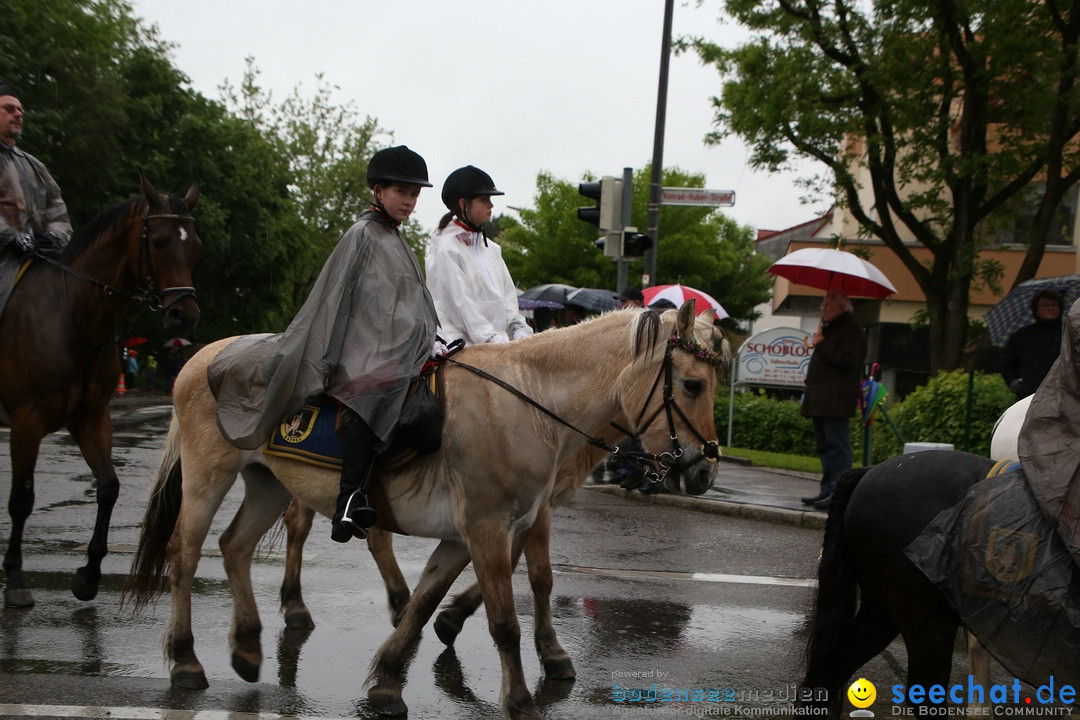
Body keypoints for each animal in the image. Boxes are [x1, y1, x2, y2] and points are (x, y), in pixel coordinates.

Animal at [0, 175, 200, 608]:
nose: (185, 315)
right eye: (158, 241)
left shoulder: (90, 416)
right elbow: (22, 498)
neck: (72, 317)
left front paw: (89, 574)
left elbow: (108, 487)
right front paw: (16, 577)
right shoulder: (26, 420)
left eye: (195, 243)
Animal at [122, 302, 721, 716]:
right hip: (209, 475)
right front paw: (521, 697)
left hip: (267, 482)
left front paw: (389, 681)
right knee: (184, 551)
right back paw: (186, 658)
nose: (704, 471)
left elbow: (424, 604)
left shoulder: (473, 534)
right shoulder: (486, 530)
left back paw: (247, 647)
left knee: (235, 546)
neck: (530, 403)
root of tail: (203, 356)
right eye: (692, 384)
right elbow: (504, 621)